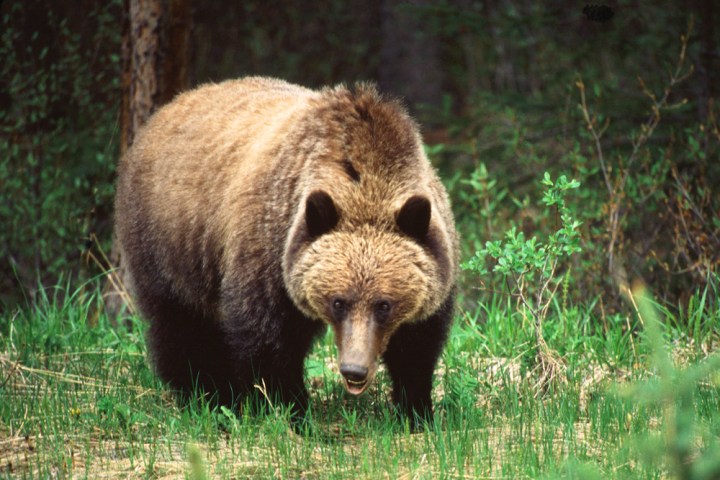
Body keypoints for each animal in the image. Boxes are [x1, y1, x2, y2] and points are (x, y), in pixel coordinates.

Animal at [114, 77, 459, 427]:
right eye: (338, 302)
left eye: (384, 304)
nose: (354, 370)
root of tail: (167, 110)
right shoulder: (269, 255)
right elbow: (268, 343)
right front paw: (290, 410)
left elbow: (417, 347)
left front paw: (417, 411)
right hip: (170, 245)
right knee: (180, 325)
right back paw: (205, 394)